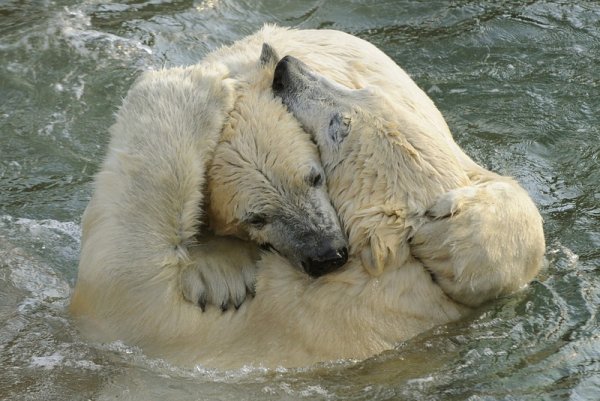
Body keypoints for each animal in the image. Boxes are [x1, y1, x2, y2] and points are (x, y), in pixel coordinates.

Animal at [69, 25, 544, 368]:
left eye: (339, 125)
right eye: (255, 218)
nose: (287, 66)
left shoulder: (226, 331)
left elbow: (122, 277)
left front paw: (194, 88)